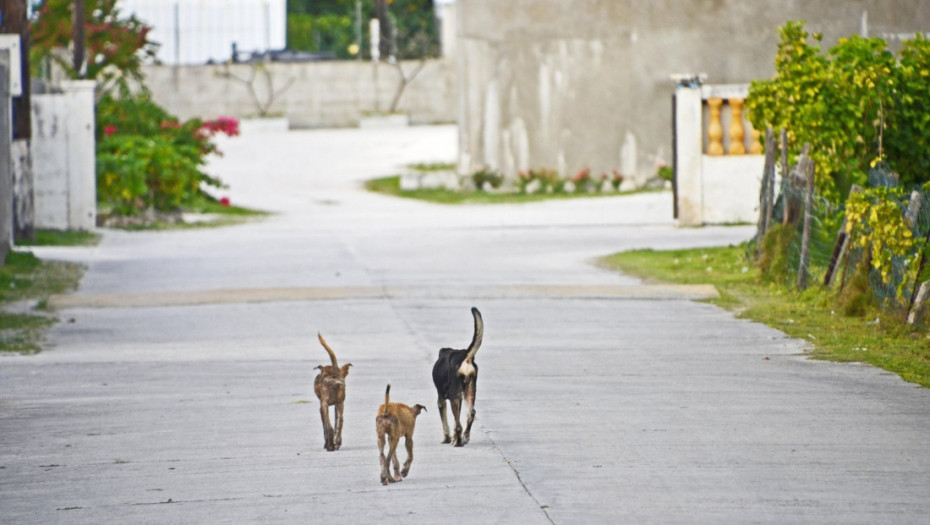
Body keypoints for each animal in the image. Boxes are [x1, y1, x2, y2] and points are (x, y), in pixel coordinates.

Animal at [430, 308, 482, 446]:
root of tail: (465, 356)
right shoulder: (460, 398)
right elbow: (455, 419)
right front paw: (454, 437)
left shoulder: (441, 399)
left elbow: (446, 423)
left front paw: (447, 438)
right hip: (470, 390)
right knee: (471, 414)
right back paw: (464, 437)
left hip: (454, 395)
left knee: (459, 425)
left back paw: (457, 442)